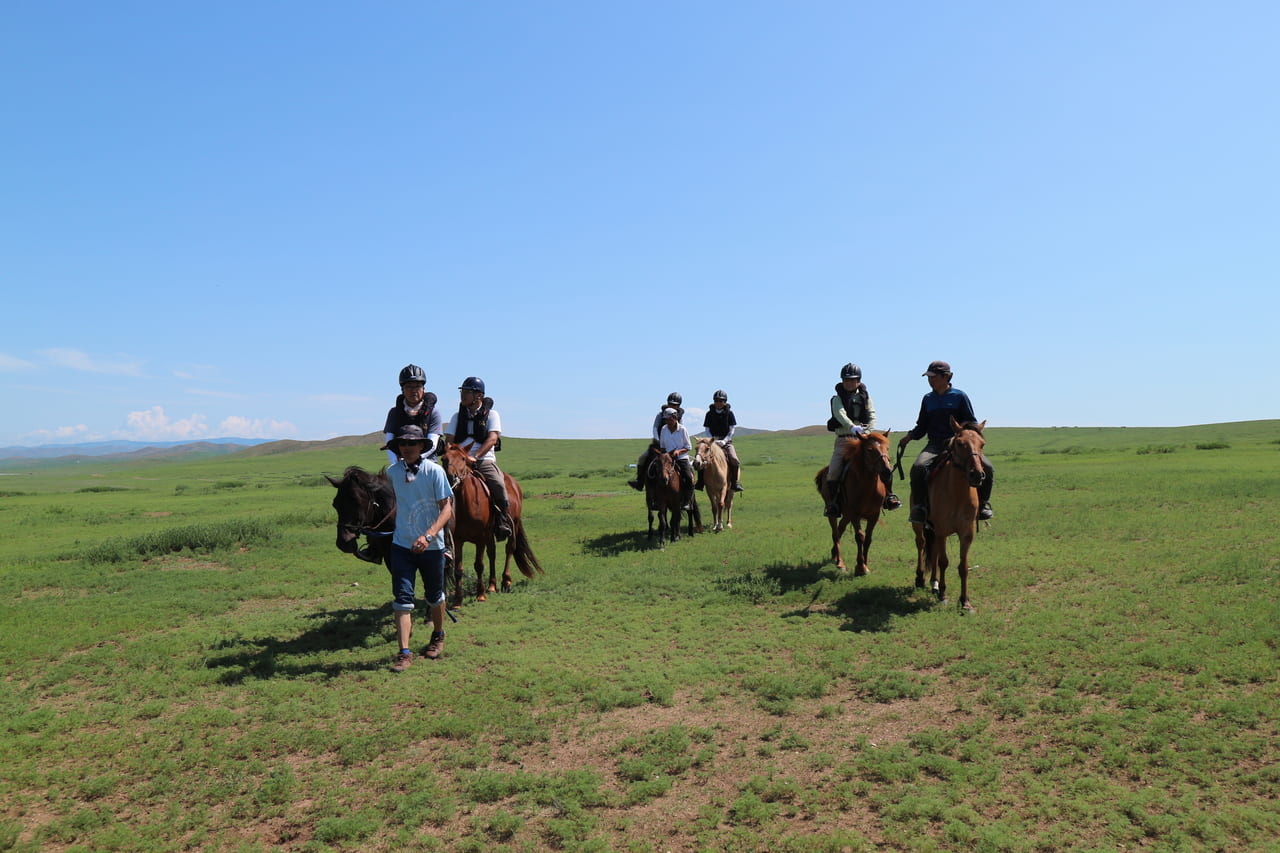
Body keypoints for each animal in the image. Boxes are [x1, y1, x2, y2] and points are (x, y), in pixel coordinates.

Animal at [440, 440, 540, 601]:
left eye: (463, 458)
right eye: (443, 459)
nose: (450, 477)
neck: (467, 504)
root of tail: (514, 483)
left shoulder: (480, 538)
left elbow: (479, 565)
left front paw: (480, 594)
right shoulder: (458, 539)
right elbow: (458, 569)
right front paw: (457, 600)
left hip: (513, 525)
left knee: (509, 549)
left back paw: (506, 581)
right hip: (490, 534)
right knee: (492, 553)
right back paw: (492, 585)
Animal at [819, 427, 890, 573]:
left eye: (887, 448)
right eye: (869, 449)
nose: (887, 471)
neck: (867, 486)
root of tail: (825, 471)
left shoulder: (874, 515)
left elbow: (868, 538)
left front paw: (866, 564)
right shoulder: (855, 514)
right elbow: (860, 537)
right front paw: (860, 567)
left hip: (846, 514)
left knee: (840, 529)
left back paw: (834, 555)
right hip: (834, 513)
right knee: (835, 533)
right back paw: (840, 562)